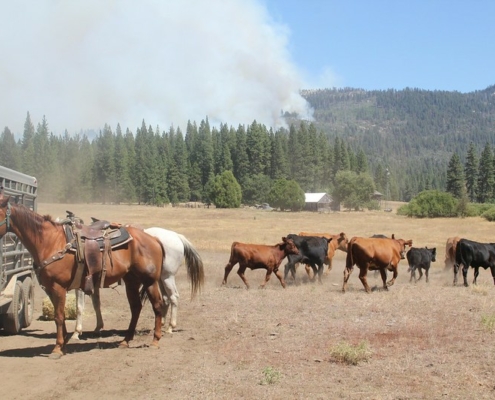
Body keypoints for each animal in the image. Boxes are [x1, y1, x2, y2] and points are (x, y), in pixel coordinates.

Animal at [0, 195, 167, 360]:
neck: (49, 242)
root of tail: (153, 239)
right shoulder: (50, 289)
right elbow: (60, 316)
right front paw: (63, 344)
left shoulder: (58, 287)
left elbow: (59, 316)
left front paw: (57, 349)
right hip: (132, 281)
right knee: (136, 307)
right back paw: (125, 341)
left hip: (150, 281)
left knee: (157, 305)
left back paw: (155, 340)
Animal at [72, 227, 205, 340]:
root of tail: (177, 236)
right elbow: (96, 304)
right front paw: (97, 328)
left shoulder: (80, 286)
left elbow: (79, 307)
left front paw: (76, 332)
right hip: (160, 279)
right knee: (166, 298)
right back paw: (161, 323)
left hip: (168, 276)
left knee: (173, 297)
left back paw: (170, 327)